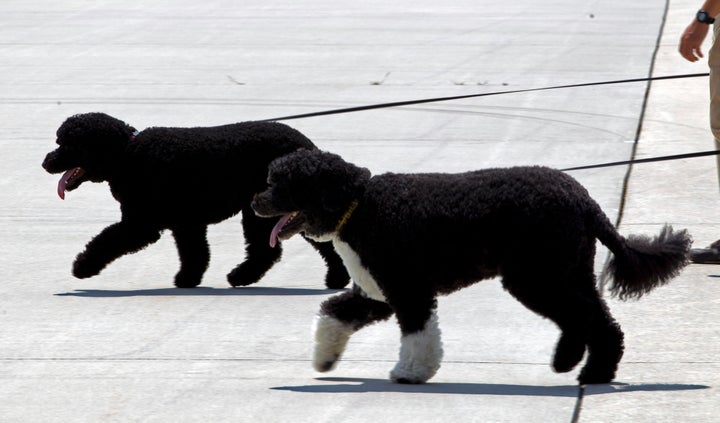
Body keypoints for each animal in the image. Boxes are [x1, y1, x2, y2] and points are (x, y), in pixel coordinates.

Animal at [42, 112, 352, 290]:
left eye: (68, 144)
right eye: (60, 141)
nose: (46, 162)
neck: (126, 154)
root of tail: (308, 147)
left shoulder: (142, 224)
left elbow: (106, 241)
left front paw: (83, 267)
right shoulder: (186, 223)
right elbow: (195, 253)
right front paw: (188, 280)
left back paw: (336, 279)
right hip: (261, 211)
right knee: (266, 251)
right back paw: (245, 277)